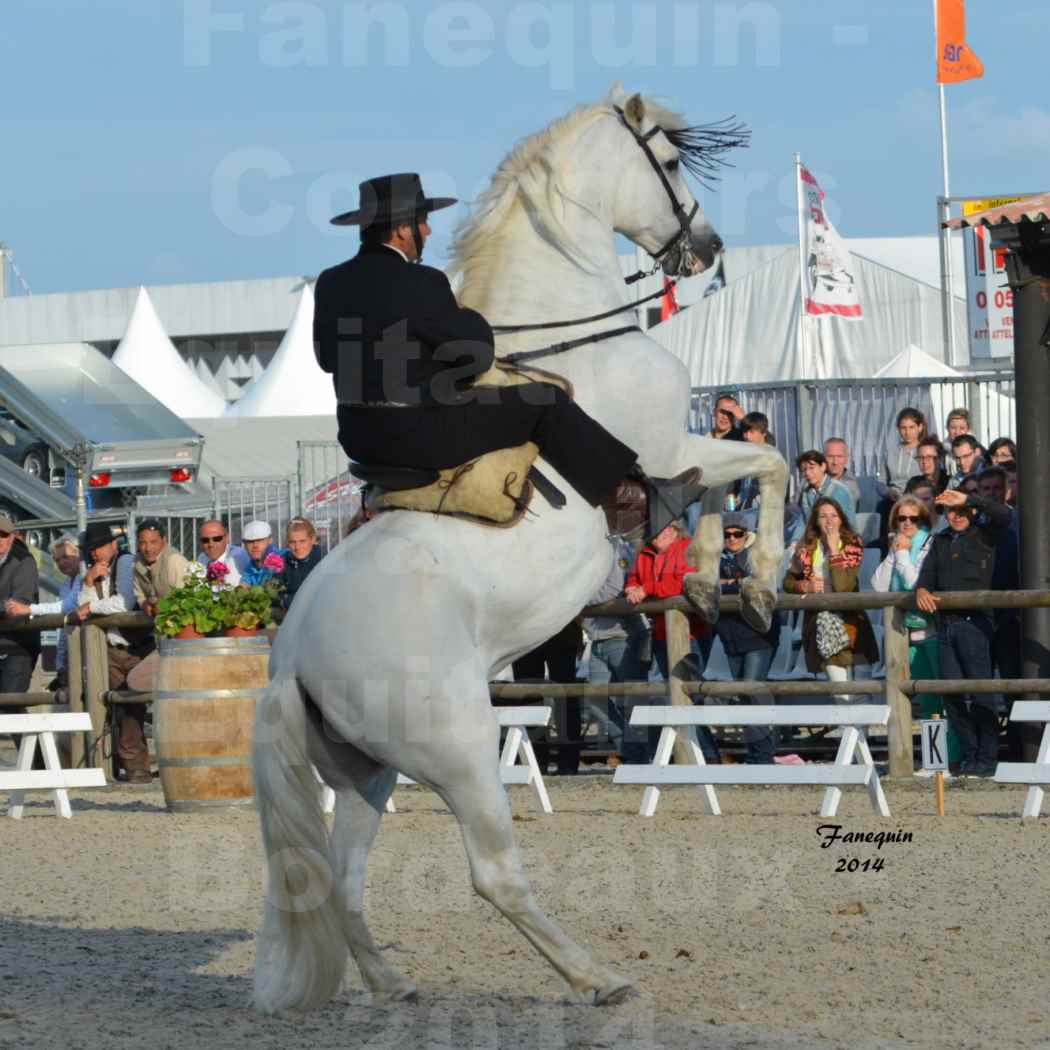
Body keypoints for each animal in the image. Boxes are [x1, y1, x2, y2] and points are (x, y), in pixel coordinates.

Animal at [254, 86, 789, 1012]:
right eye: (669, 161)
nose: (709, 247)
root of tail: (292, 658)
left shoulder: (679, 455)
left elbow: (732, 481)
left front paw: (709, 583)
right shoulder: (665, 449)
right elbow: (764, 463)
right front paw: (752, 579)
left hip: (365, 773)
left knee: (345, 880)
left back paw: (393, 984)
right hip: (463, 752)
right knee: (494, 876)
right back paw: (596, 978)